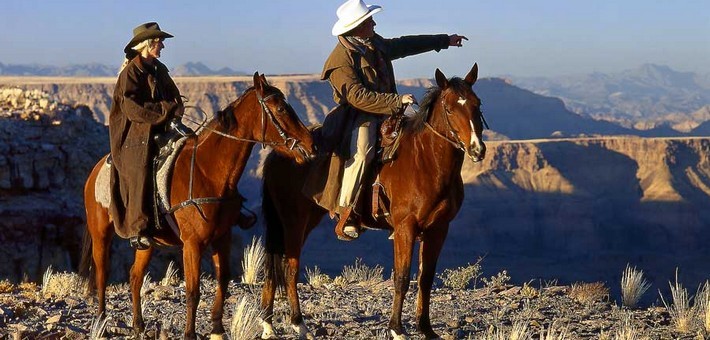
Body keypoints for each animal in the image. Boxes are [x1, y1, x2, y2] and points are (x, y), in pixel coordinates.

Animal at [79, 72, 316, 340]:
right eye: (280, 108)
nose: (311, 146)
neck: (208, 173)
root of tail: (96, 170)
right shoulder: (192, 243)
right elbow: (193, 290)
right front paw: (190, 333)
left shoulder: (222, 237)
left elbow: (223, 280)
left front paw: (217, 330)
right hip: (101, 233)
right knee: (102, 274)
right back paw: (101, 323)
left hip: (147, 243)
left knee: (135, 277)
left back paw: (139, 326)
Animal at [262, 64, 490, 340]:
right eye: (449, 108)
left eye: (477, 104)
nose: (477, 150)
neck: (426, 162)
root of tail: (279, 153)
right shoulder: (405, 228)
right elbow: (401, 278)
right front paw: (397, 329)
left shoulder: (438, 229)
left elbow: (425, 278)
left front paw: (426, 328)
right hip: (293, 221)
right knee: (290, 266)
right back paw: (298, 324)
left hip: (301, 221)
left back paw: (268, 324)